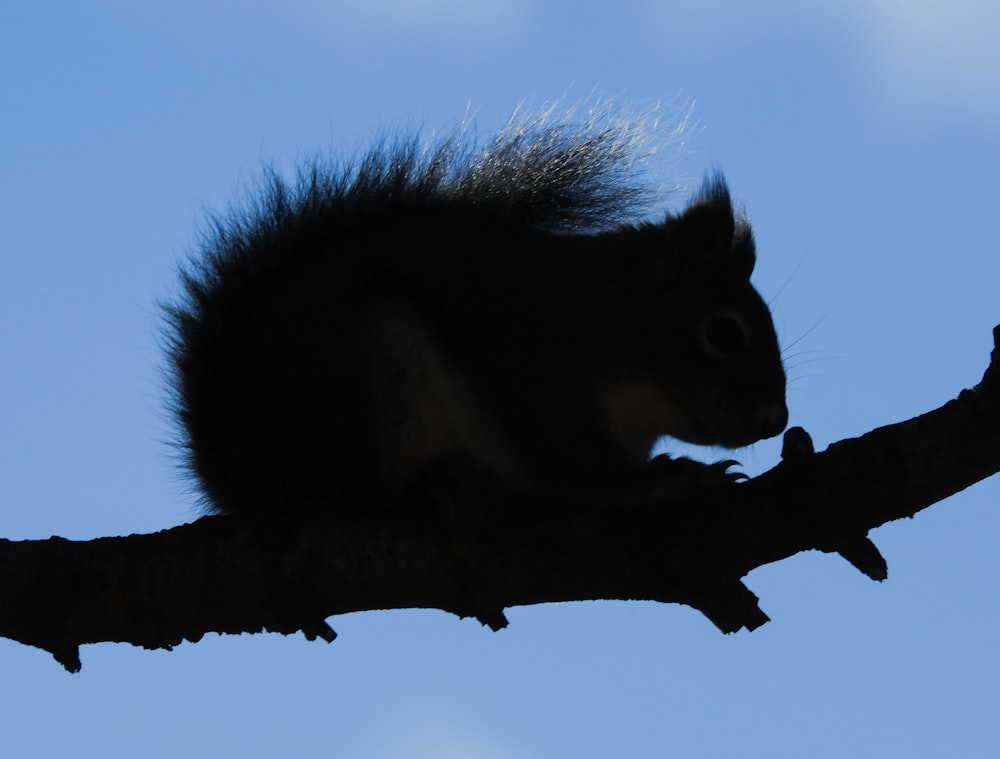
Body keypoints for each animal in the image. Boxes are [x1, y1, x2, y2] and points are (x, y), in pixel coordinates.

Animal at [164, 110, 788, 520]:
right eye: (724, 333)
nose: (776, 421)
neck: (600, 318)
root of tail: (241, 475)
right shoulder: (537, 377)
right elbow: (580, 472)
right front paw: (670, 480)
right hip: (363, 373)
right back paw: (440, 482)